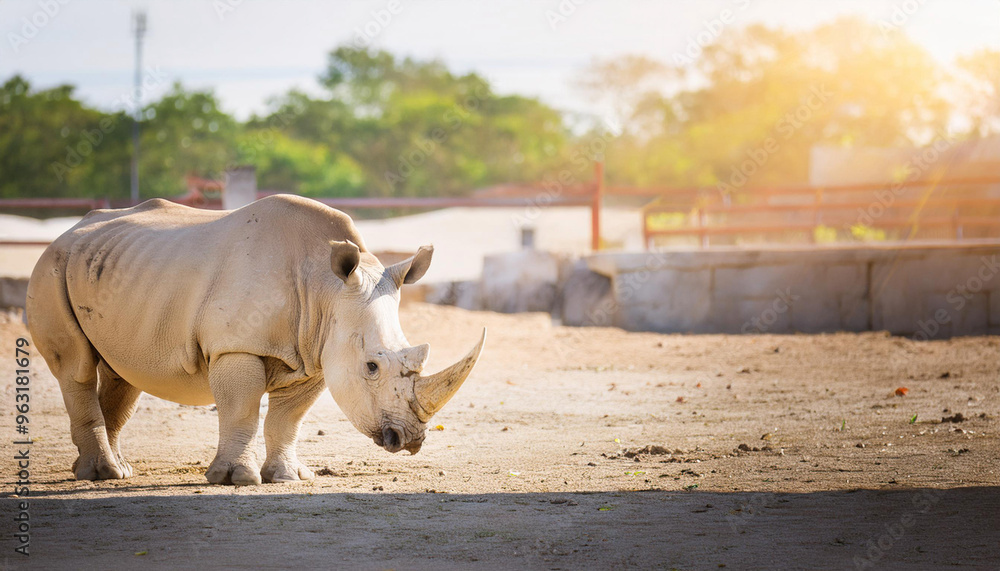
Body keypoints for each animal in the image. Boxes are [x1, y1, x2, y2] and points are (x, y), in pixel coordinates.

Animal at [26, 195, 485, 485]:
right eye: (371, 366)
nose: (408, 440)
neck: (324, 288)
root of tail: (67, 232)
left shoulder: (315, 354)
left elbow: (288, 419)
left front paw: (288, 477)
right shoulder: (237, 346)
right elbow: (242, 408)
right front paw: (236, 479)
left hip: (116, 272)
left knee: (122, 373)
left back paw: (111, 470)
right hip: (51, 267)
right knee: (76, 368)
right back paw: (102, 473)